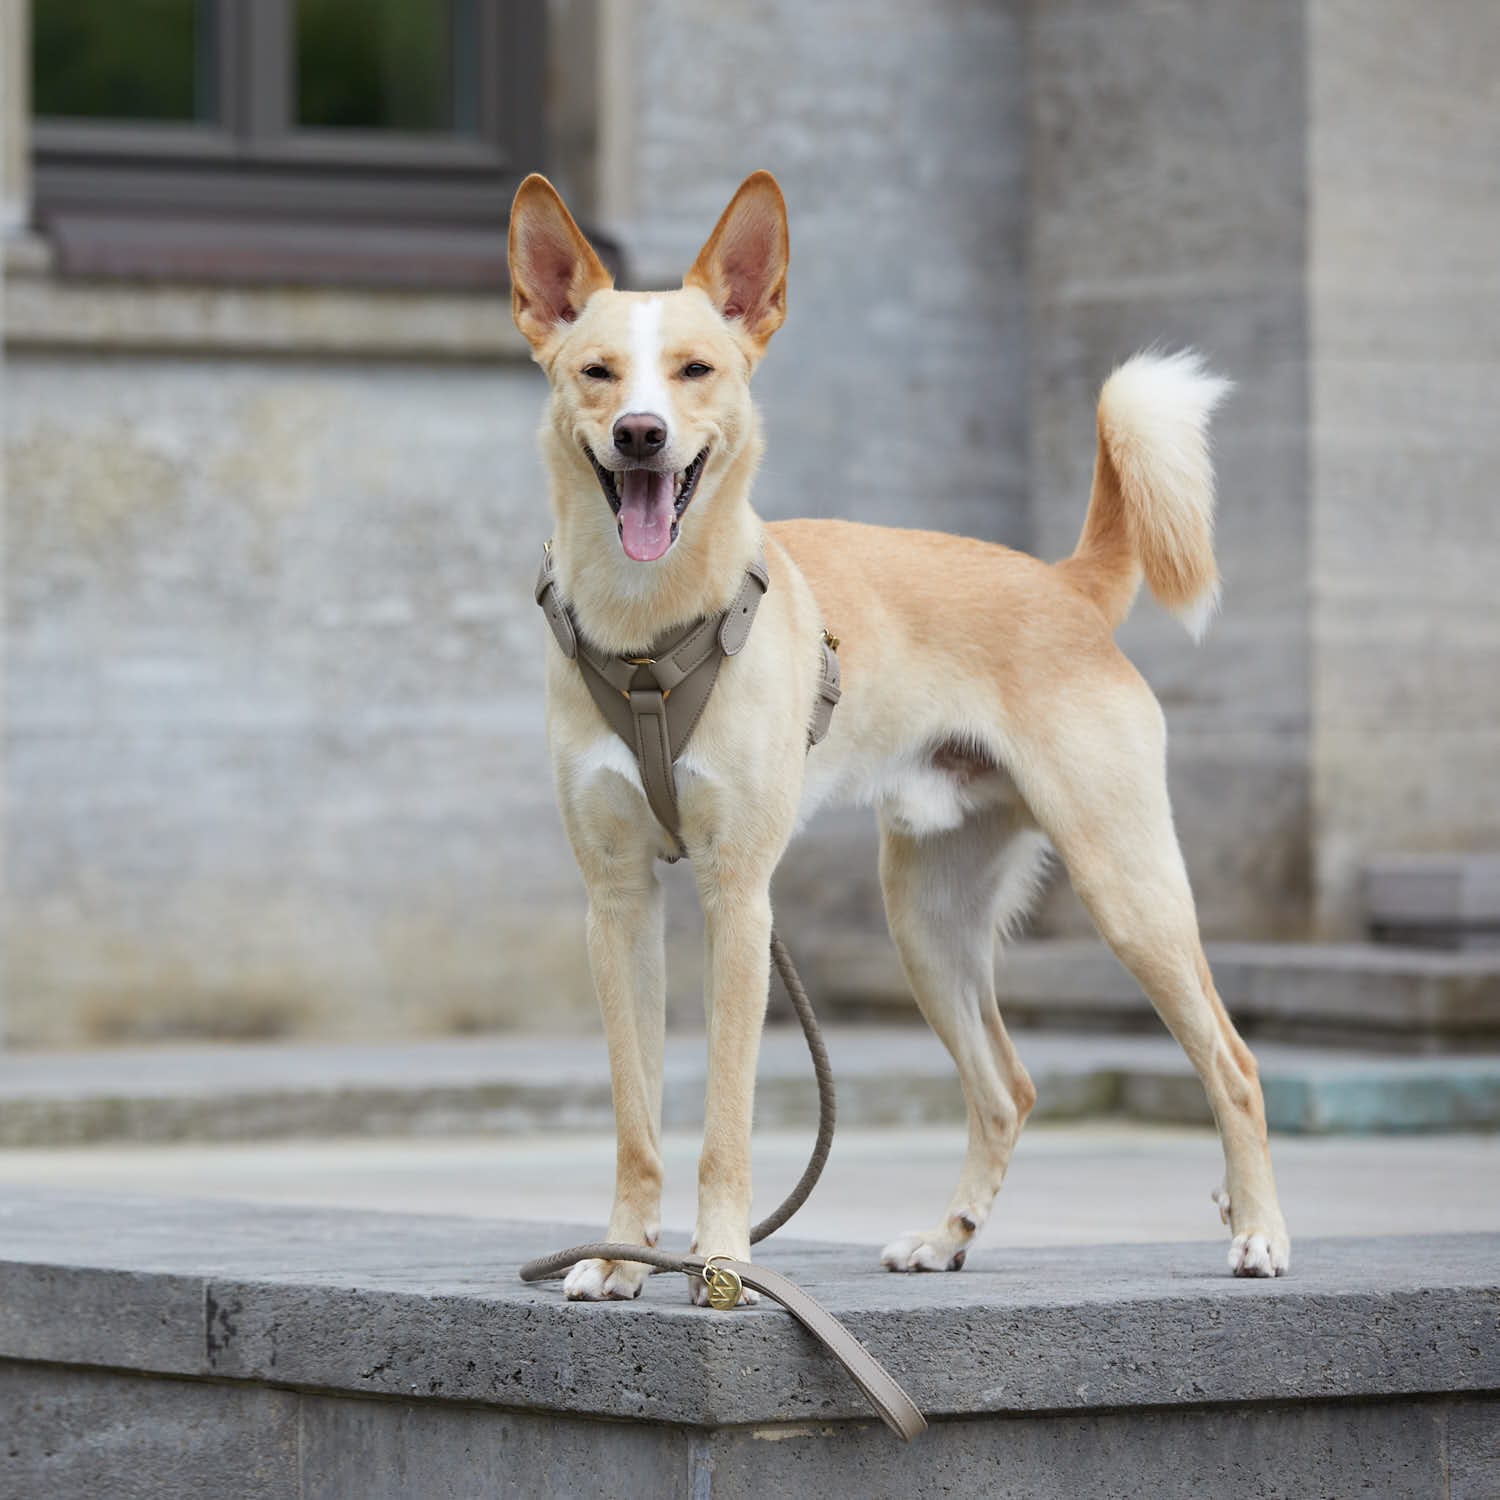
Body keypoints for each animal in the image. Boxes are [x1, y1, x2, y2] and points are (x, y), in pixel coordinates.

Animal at [504, 172, 1290, 1302]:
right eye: (596, 373)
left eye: (697, 369)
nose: (643, 434)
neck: (651, 639)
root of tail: (1064, 585)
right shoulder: (616, 903)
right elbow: (637, 1118)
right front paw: (621, 1254)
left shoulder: (739, 899)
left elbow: (724, 1123)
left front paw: (720, 1261)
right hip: (927, 917)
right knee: (1009, 1087)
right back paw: (948, 1234)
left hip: (1127, 885)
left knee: (1233, 1062)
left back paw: (1259, 1229)